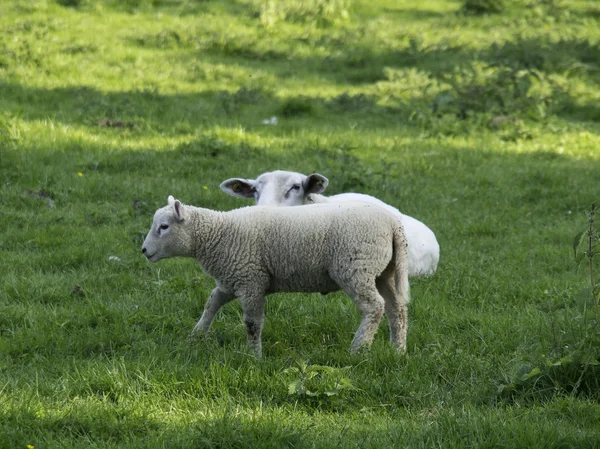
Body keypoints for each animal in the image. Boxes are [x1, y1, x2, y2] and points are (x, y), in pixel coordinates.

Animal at [143, 194, 410, 356]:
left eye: (164, 227)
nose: (144, 251)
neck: (218, 235)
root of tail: (393, 224)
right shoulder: (232, 281)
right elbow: (211, 303)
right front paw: (196, 336)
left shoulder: (250, 280)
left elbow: (252, 323)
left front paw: (254, 356)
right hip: (382, 272)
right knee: (396, 308)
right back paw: (398, 349)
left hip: (356, 268)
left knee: (374, 307)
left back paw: (358, 348)